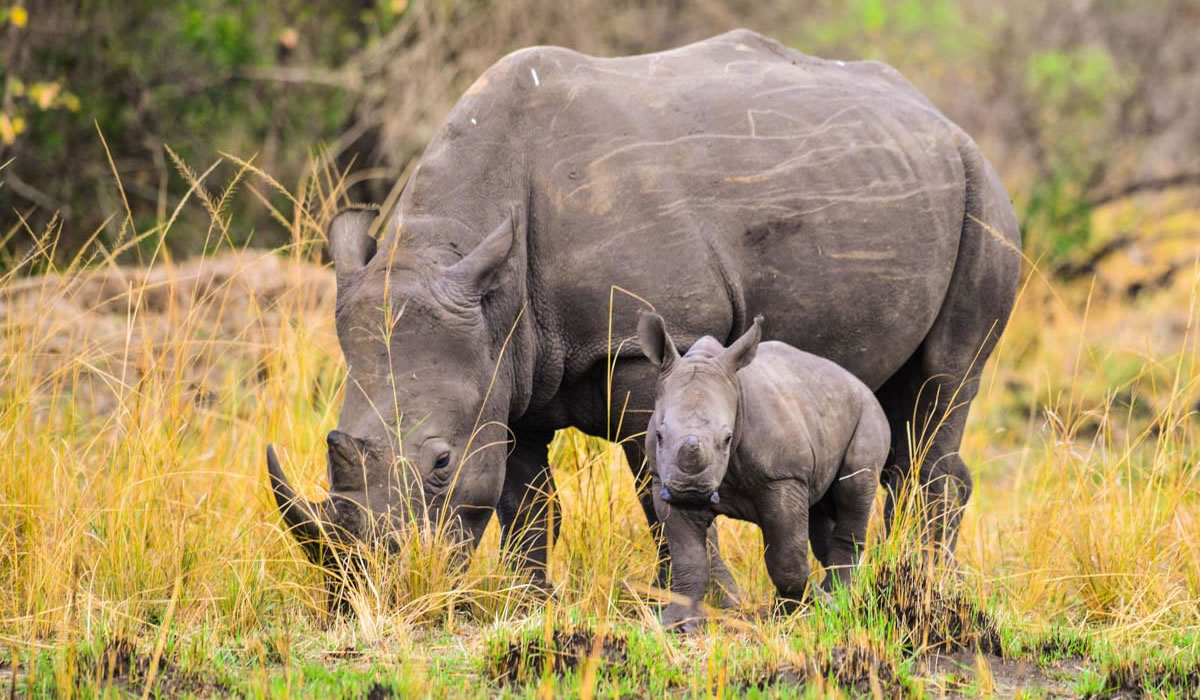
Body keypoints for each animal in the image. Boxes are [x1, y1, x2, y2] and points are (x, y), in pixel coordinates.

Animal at [638, 312, 892, 629]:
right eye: (660, 436)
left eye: (727, 439)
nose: (691, 491)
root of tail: (860, 383)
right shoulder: (663, 479)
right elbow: (688, 557)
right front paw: (677, 625)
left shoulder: (782, 475)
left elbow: (787, 558)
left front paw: (794, 613)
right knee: (820, 508)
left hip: (869, 412)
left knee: (854, 487)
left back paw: (839, 596)